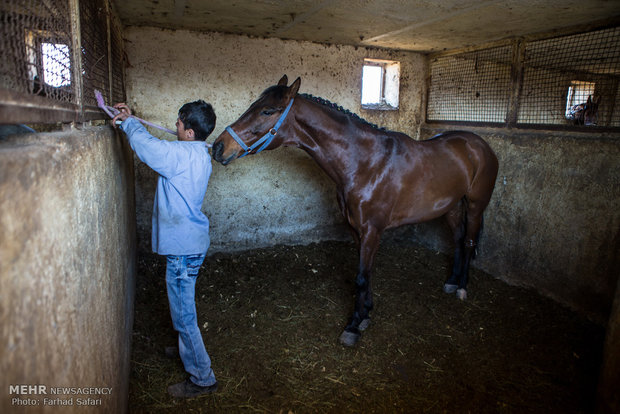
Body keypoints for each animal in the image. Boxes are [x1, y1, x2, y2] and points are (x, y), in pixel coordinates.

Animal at [213, 75, 498, 346]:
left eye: (267, 111)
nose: (218, 147)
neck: (364, 163)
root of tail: (479, 145)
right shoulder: (355, 229)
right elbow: (365, 274)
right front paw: (366, 315)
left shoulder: (372, 231)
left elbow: (361, 277)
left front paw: (352, 326)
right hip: (451, 206)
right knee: (458, 239)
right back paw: (451, 281)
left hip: (475, 206)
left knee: (469, 241)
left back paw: (462, 287)